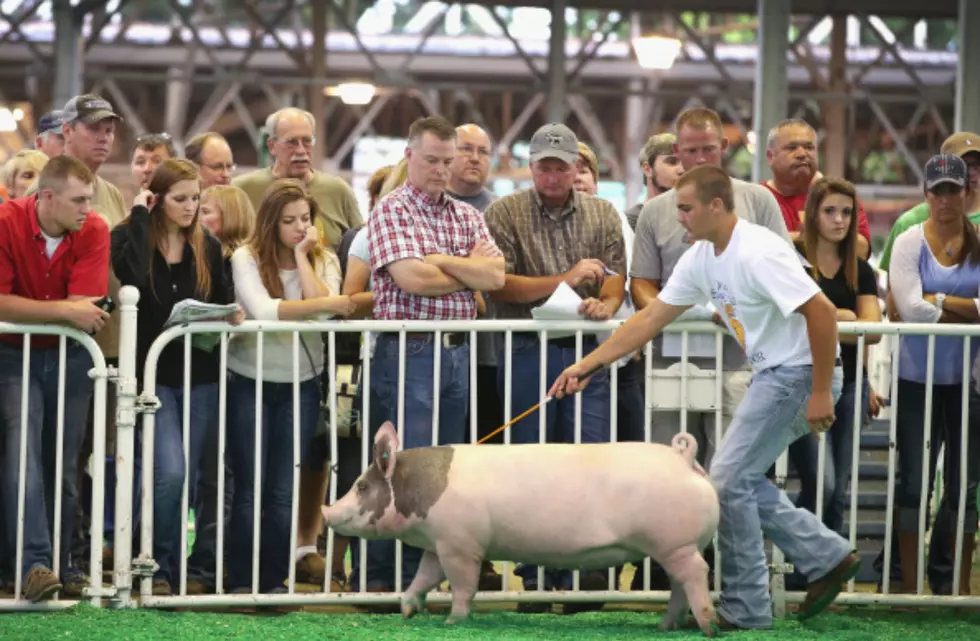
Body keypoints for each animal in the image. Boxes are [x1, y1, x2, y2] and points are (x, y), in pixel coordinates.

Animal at [322, 420, 720, 636]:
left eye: (361, 486)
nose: (327, 513)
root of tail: (683, 458)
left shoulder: (461, 544)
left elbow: (463, 585)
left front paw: (453, 622)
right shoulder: (439, 544)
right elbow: (424, 578)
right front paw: (406, 611)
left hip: (675, 543)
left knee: (697, 574)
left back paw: (708, 627)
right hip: (676, 547)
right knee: (679, 584)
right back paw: (665, 627)